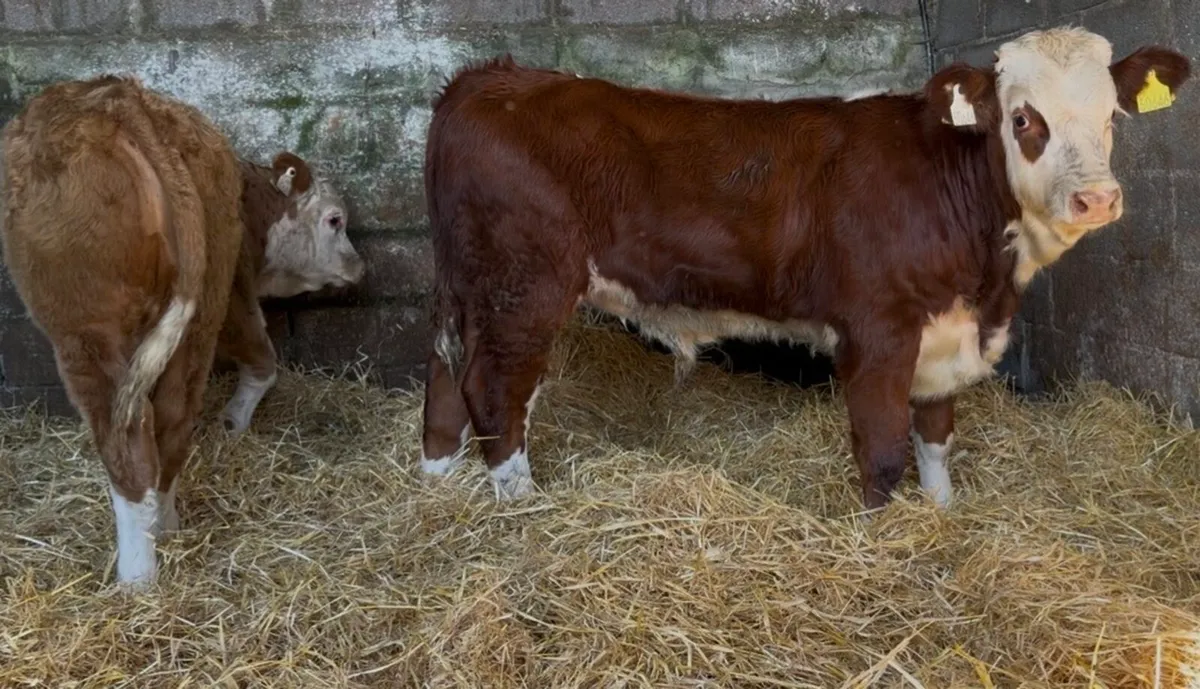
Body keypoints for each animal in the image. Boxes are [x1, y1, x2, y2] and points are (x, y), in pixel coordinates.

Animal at [0, 75, 364, 587]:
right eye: (335, 219)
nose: (359, 265)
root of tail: (123, 100)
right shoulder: (230, 288)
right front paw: (233, 423)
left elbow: (261, 358)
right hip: (200, 307)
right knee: (173, 421)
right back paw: (165, 529)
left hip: (88, 331)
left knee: (129, 441)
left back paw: (137, 576)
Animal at [417, 27, 1190, 511]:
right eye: (1024, 119)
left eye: (1112, 117)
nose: (1097, 198)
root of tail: (487, 78)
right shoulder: (878, 329)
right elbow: (884, 450)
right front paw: (878, 541)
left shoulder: (944, 333)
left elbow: (936, 439)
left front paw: (941, 518)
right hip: (524, 283)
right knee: (494, 390)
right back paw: (523, 508)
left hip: (467, 286)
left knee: (445, 383)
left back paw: (434, 488)